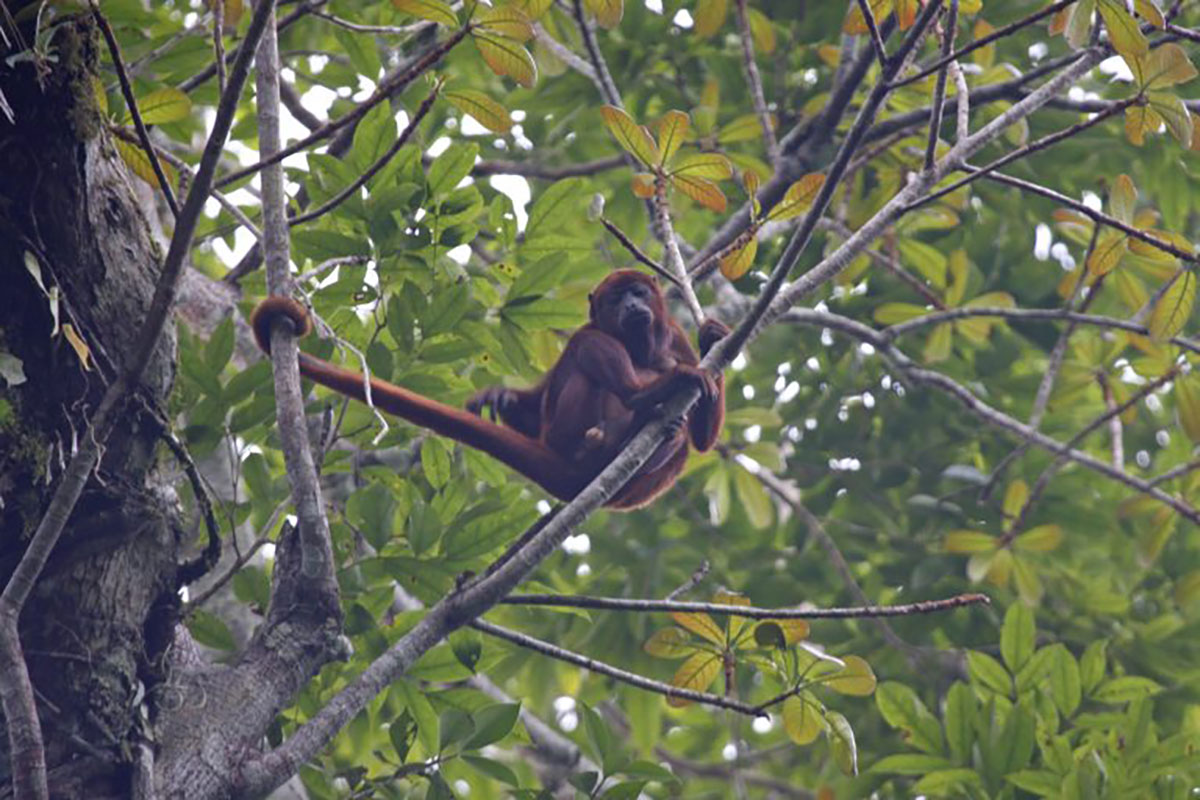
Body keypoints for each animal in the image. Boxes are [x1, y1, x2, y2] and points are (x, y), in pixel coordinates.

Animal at [251, 270, 728, 509]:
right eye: (615, 300)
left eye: (638, 292)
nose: (631, 304)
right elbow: (561, 372)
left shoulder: (674, 339)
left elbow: (704, 441)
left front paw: (714, 337)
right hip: (564, 431)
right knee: (587, 345)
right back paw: (641, 399)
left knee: (681, 439)